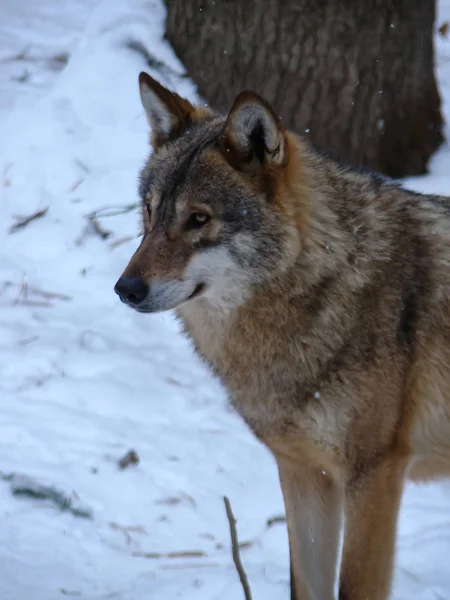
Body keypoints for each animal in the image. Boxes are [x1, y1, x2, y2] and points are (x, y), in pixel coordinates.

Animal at [113, 71, 450, 600]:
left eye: (198, 219)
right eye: (149, 212)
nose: (125, 289)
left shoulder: (375, 473)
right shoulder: (304, 473)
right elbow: (306, 586)